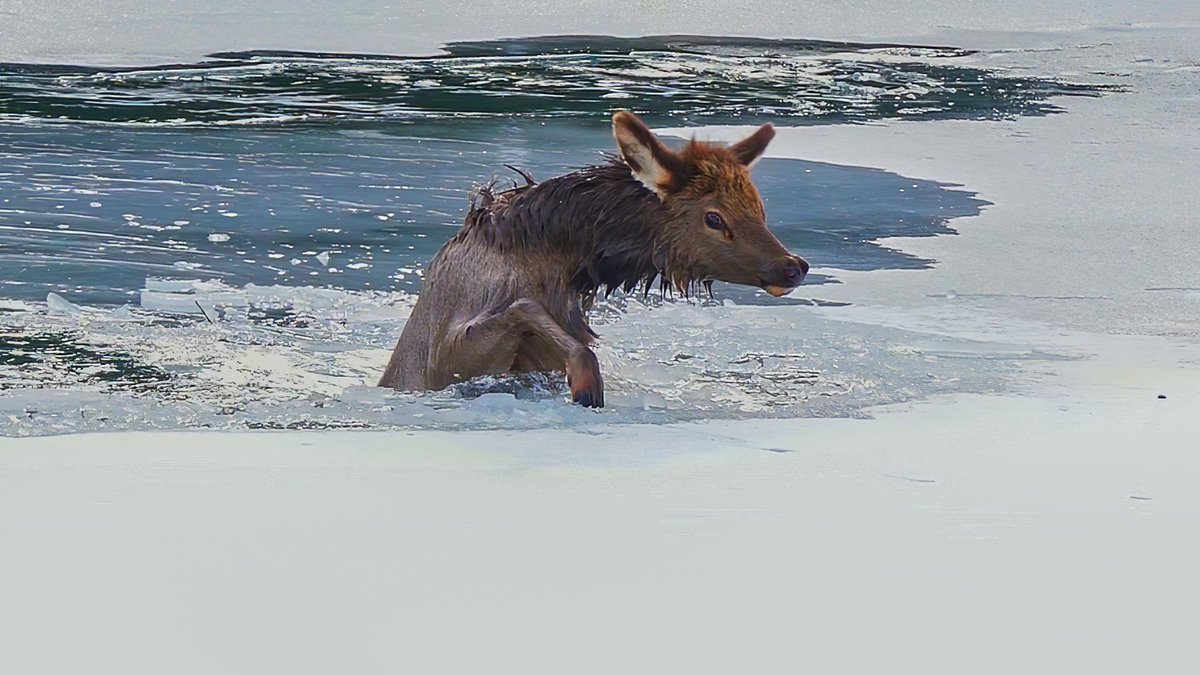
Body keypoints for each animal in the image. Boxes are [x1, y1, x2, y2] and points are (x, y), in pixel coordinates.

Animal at [378, 110, 809, 407]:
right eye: (714, 217)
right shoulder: (440, 363)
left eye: (759, 207)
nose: (793, 266)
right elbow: (523, 309)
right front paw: (587, 384)